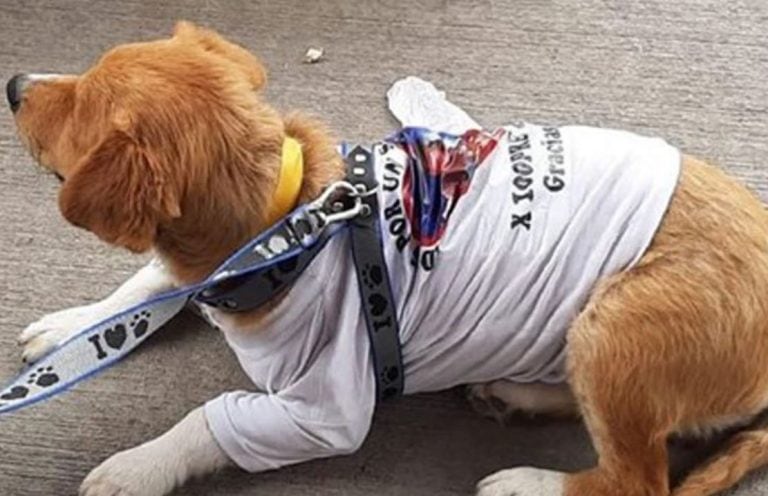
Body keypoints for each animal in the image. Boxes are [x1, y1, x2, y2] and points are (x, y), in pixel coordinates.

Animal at [7, 22, 768, 496]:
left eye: (79, 110)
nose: (13, 82)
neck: (288, 223)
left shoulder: (322, 412)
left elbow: (207, 421)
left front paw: (135, 468)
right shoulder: (191, 271)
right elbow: (144, 285)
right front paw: (74, 325)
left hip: (617, 320)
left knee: (635, 479)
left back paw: (525, 481)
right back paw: (514, 392)